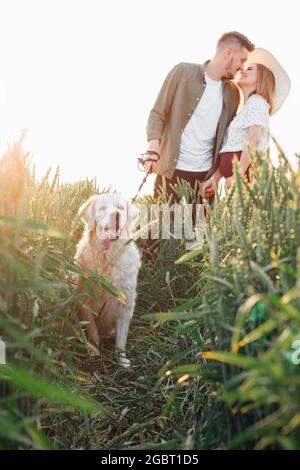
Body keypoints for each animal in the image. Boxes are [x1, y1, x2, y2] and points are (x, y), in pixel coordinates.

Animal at [74, 194, 142, 368]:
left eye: (121, 207)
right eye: (102, 208)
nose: (116, 215)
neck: (109, 257)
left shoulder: (126, 306)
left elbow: (121, 341)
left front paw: (123, 361)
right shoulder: (86, 303)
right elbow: (93, 333)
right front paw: (94, 352)